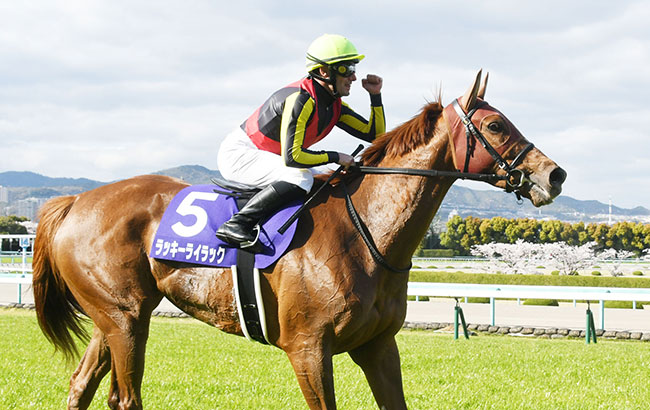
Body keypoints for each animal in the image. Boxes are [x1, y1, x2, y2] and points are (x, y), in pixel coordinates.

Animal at [33, 72, 564, 408]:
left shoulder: (378, 345)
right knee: (124, 397)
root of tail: (76, 201)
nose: (554, 175)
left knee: (80, 385)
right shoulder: (308, 348)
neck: (365, 232)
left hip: (117, 315)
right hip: (124, 319)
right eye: (495, 125)